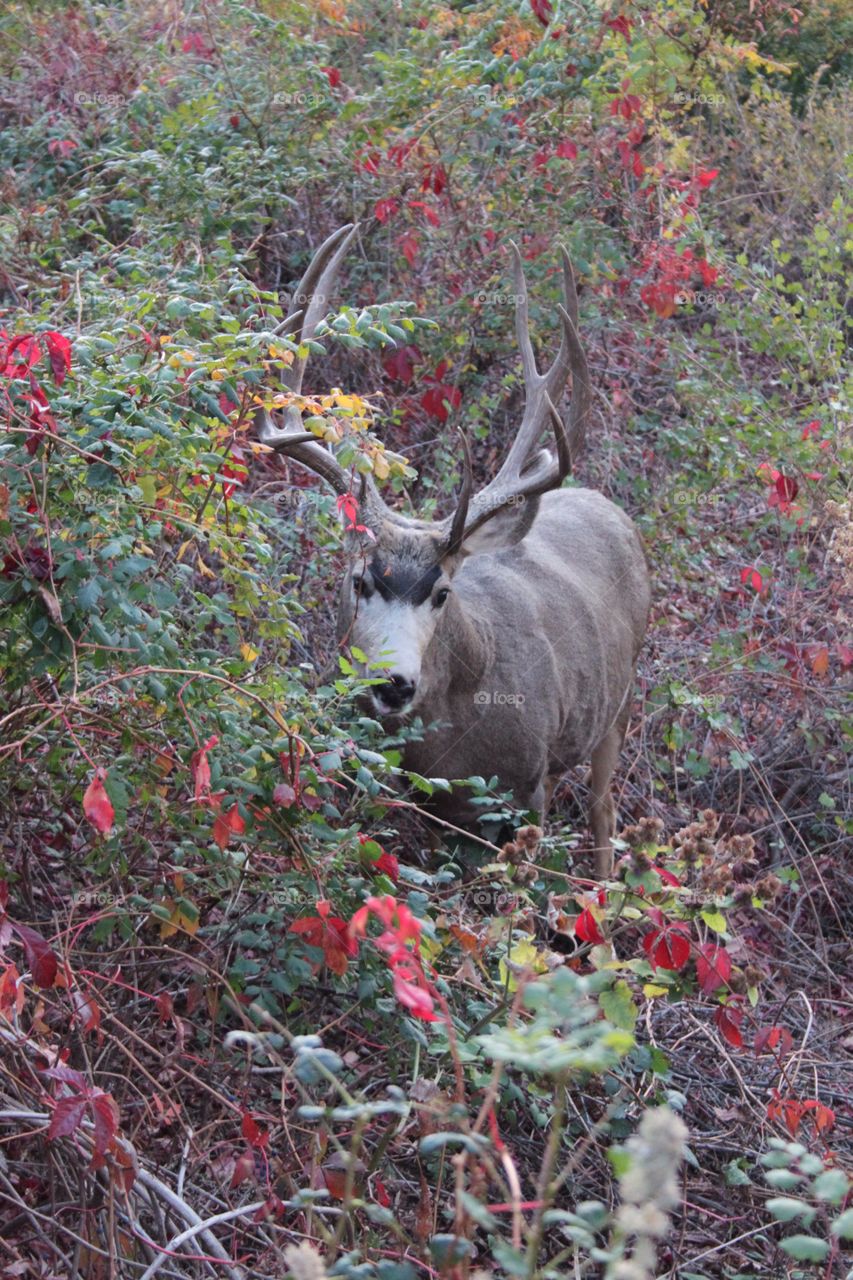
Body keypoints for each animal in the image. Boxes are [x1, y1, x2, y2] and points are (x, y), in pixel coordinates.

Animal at [256, 225, 648, 875]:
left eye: (441, 593)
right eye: (359, 579)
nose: (394, 684)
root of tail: (607, 506)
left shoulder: (528, 787)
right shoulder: (431, 802)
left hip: (620, 700)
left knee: (604, 812)